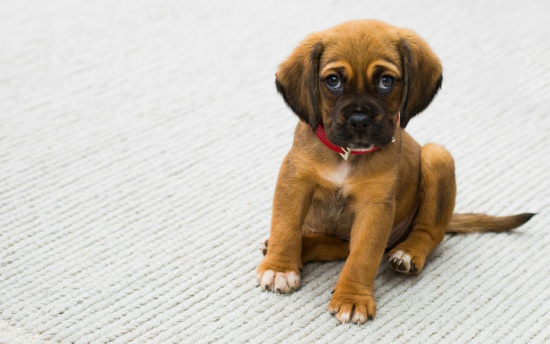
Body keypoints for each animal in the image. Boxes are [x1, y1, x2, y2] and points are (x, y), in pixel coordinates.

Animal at [258, 19, 536, 326]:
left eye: (386, 81)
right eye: (333, 81)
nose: (359, 120)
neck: (347, 155)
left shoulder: (375, 208)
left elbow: (363, 256)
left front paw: (352, 298)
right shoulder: (294, 183)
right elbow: (285, 227)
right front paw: (280, 267)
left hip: (437, 156)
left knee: (429, 232)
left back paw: (408, 252)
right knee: (338, 246)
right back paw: (300, 247)